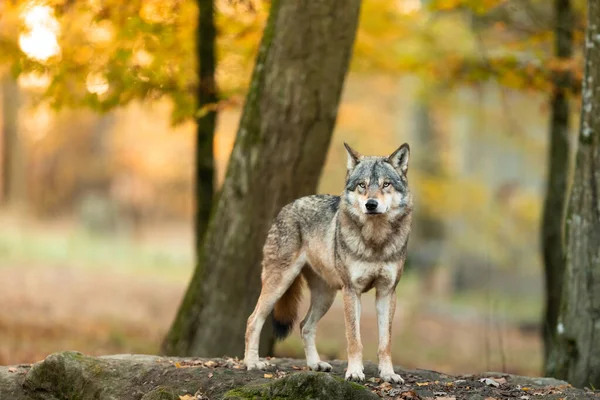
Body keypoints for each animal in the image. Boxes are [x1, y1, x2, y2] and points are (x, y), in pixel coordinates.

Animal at [244, 142, 412, 382]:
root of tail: (289, 205)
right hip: (279, 284)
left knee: (304, 325)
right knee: (253, 320)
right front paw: (354, 372)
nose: (371, 204)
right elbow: (354, 339)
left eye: (385, 184)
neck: (375, 241)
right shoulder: (351, 291)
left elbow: (385, 342)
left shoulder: (387, 292)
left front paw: (388, 374)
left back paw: (315, 364)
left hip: (326, 296)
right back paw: (252, 363)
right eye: (362, 185)